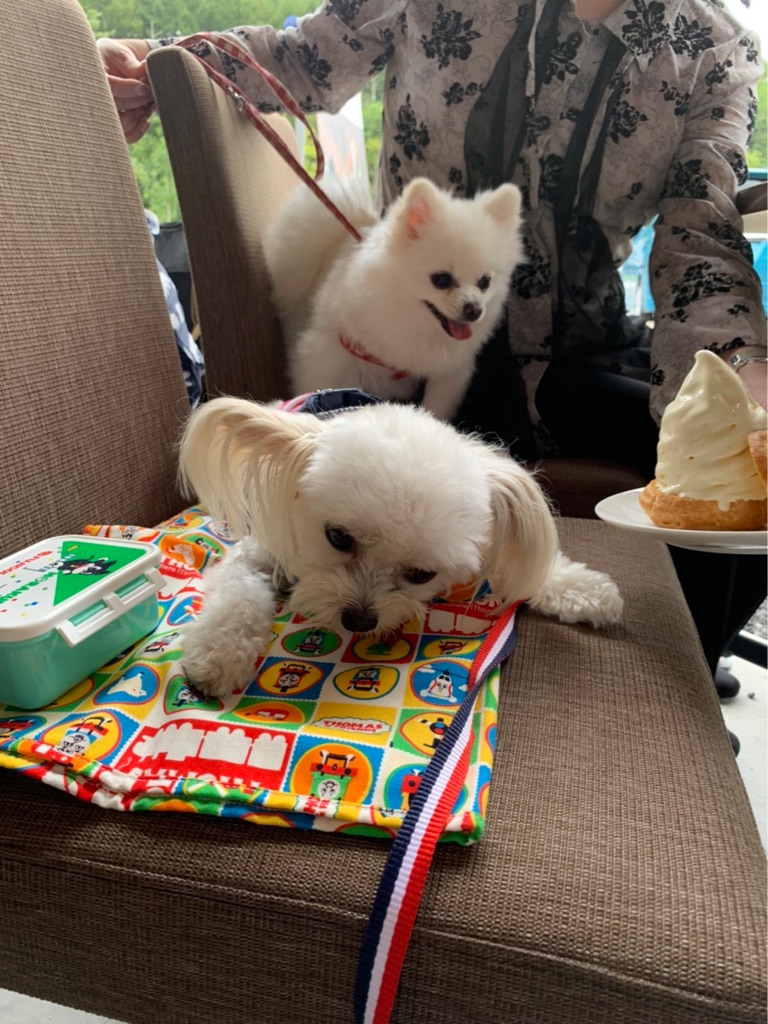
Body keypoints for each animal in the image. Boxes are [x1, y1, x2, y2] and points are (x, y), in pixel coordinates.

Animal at [177, 397, 623, 698]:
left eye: (422, 575)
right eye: (338, 537)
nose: (358, 619)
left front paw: (587, 591)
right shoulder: (257, 552)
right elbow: (239, 599)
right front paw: (219, 655)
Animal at [265, 176, 524, 422]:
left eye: (485, 282)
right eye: (441, 280)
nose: (474, 309)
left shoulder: (448, 373)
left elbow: (436, 407)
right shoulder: (327, 353)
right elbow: (317, 387)